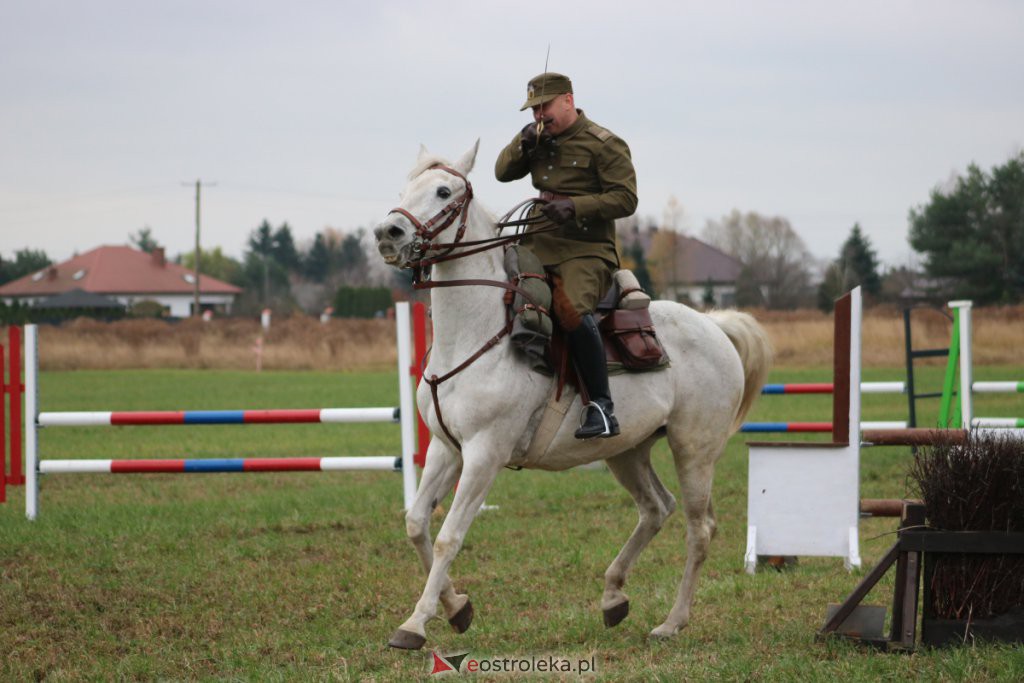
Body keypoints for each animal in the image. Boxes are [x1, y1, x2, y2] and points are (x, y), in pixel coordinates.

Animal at [372, 141, 770, 651]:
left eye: (443, 191)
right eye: (406, 189)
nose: (388, 233)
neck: (477, 335)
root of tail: (714, 325)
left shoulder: (484, 454)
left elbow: (448, 537)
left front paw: (415, 623)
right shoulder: (447, 449)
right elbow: (417, 523)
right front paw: (457, 608)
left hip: (693, 452)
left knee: (698, 530)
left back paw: (672, 621)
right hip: (626, 451)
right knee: (656, 508)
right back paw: (613, 595)